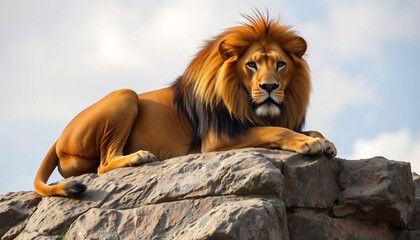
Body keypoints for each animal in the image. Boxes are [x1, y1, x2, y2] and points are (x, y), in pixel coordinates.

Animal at [33, 11, 334, 197]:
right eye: (251, 65)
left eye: (280, 64)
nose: (269, 87)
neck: (245, 102)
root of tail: (59, 136)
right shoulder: (217, 138)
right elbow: (276, 131)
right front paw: (309, 143)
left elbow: (303, 129)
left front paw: (325, 141)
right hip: (126, 94)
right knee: (103, 164)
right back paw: (138, 157)